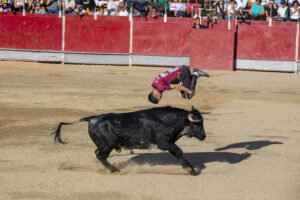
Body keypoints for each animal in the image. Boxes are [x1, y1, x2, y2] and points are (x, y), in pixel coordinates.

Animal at [52, 106, 206, 175]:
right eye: (197, 124)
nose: (204, 136)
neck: (168, 121)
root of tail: (92, 119)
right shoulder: (165, 143)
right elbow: (179, 152)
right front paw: (191, 170)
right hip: (107, 146)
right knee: (100, 156)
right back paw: (114, 170)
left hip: (104, 145)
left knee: (97, 154)